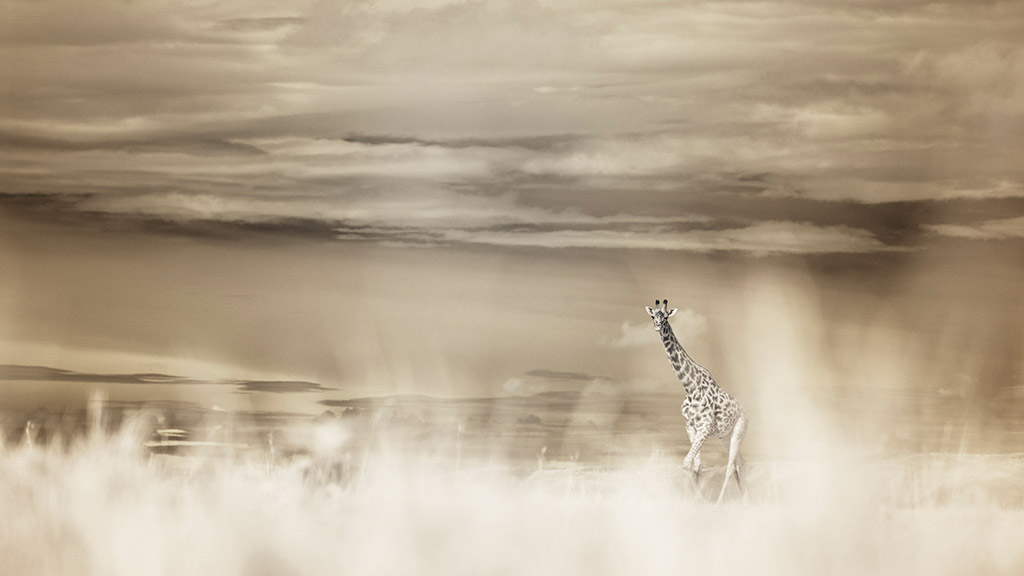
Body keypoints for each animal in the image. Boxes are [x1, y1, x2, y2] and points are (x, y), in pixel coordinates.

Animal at [643, 297, 749, 500]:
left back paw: (722, 501)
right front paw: (695, 500)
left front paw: (700, 500)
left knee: (731, 466)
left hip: (740, 429)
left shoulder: (705, 428)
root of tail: (745, 411)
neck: (689, 386)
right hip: (725, 435)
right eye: (653, 316)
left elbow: (687, 462)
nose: (657, 325)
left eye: (666, 317)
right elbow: (695, 465)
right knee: (740, 463)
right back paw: (745, 499)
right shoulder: (690, 426)